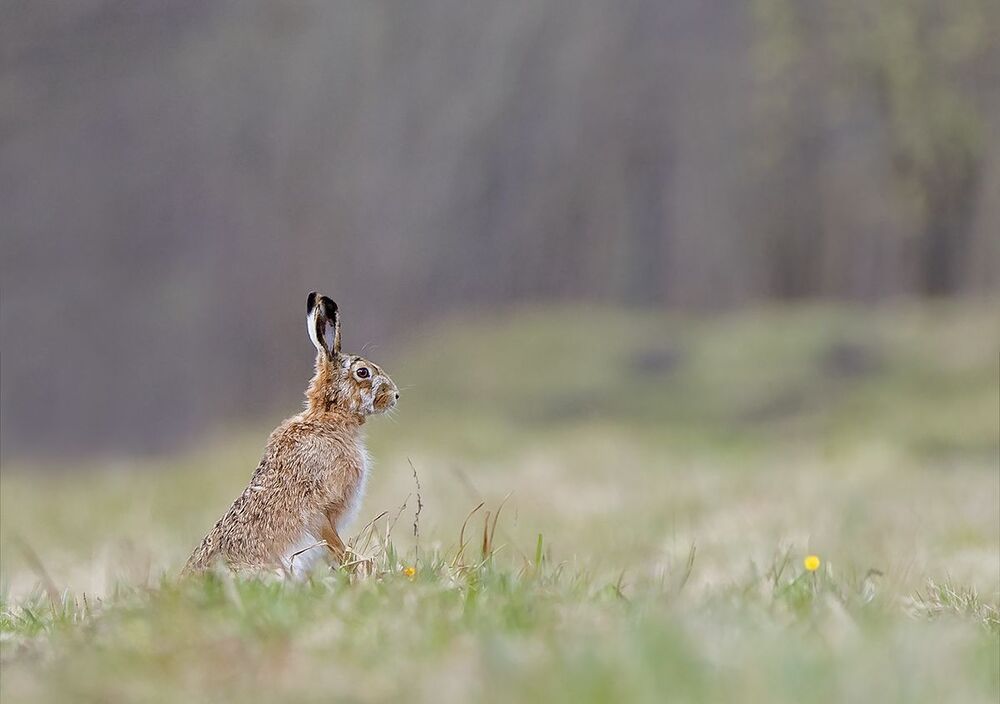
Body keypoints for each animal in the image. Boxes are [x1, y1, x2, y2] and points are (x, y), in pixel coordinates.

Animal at [183, 292, 399, 577]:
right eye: (363, 372)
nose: (395, 395)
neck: (327, 420)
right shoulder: (319, 510)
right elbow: (332, 541)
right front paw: (358, 563)